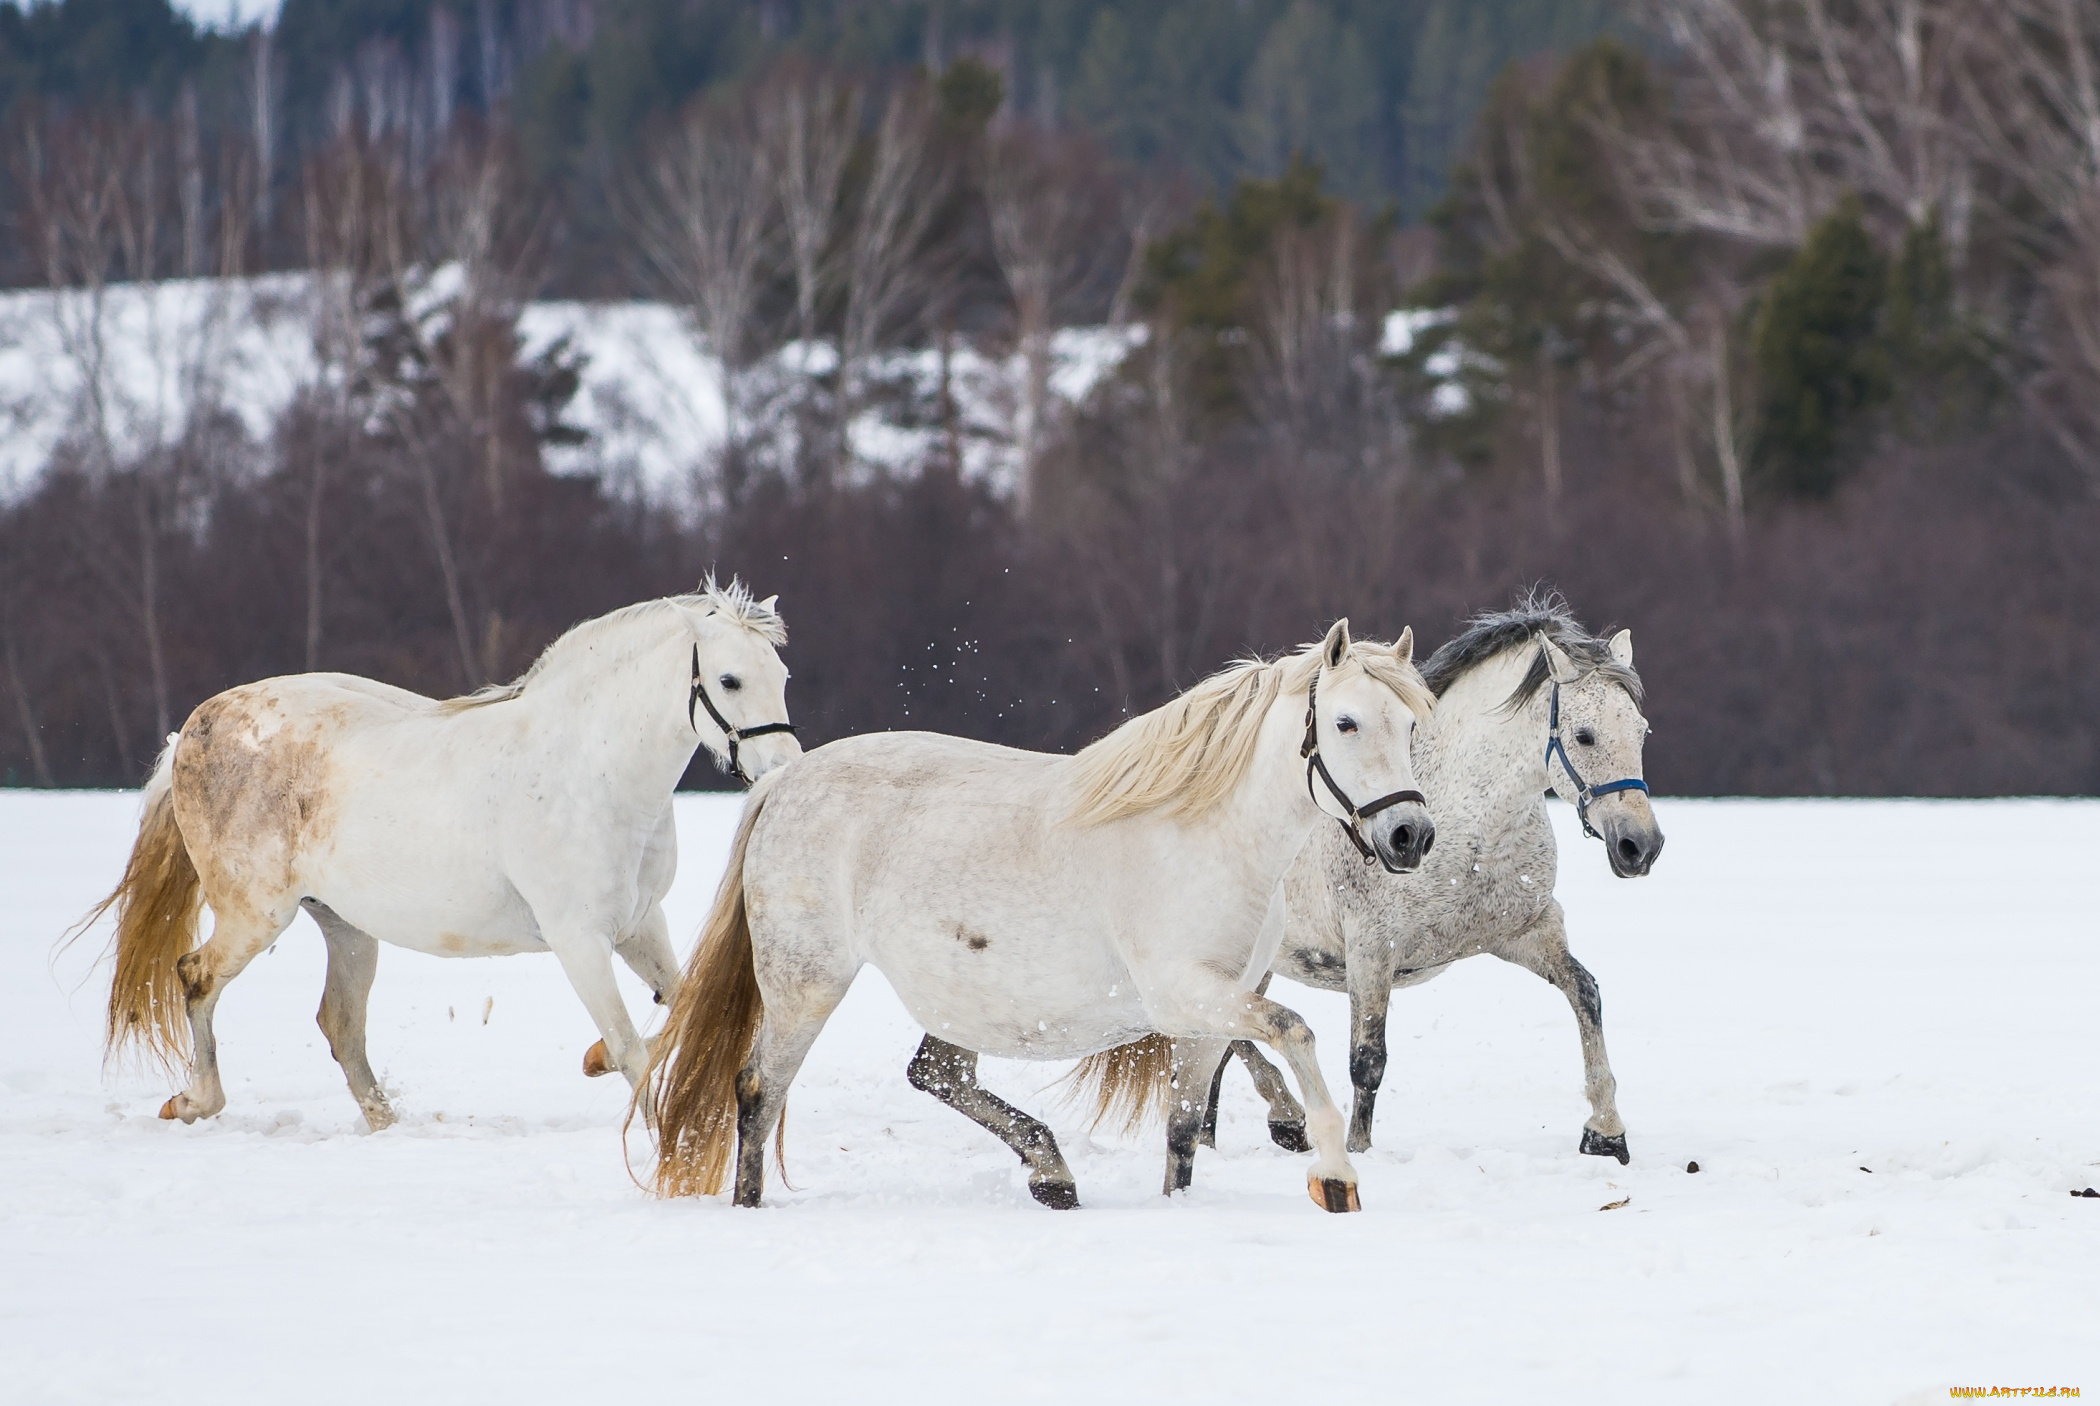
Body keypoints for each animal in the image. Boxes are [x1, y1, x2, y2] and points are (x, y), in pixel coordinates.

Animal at [79, 579, 793, 1133]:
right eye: (729, 680)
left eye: (781, 676)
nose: (781, 772)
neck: (593, 772)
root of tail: (193, 729)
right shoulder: (579, 939)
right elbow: (627, 1046)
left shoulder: (642, 925)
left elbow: (678, 1005)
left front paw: (598, 1061)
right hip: (255, 916)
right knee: (196, 976)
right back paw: (192, 1102)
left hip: (346, 926)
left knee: (340, 1024)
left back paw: (388, 1128)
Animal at [651, 621, 1444, 1217]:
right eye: (1345, 722)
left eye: (1410, 724)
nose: (1410, 835)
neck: (1209, 834)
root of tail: (785, 781)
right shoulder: (1182, 995)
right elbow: (1294, 1031)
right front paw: (1335, 1173)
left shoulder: (1206, 1018)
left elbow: (1185, 1133)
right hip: (806, 986)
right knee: (759, 1092)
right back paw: (751, 1207)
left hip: (955, 1001)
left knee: (934, 1071)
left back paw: (1051, 1171)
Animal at [1092, 595, 1663, 1191]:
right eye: (1584, 735)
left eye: (1641, 730)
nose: (1640, 846)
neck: (1471, 830)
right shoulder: (1372, 950)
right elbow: (1367, 1060)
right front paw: (1358, 1151)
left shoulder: (1528, 933)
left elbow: (1586, 995)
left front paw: (1606, 1133)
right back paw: (1284, 1118)